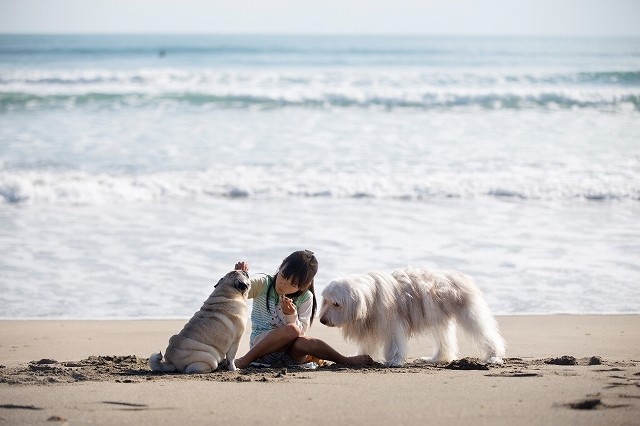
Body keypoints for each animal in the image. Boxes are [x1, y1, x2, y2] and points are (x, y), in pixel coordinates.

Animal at [320, 266, 504, 366]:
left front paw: (394, 361)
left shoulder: (393, 325)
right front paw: (359, 357)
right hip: (439, 319)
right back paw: (435, 358)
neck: (370, 298)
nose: (322, 320)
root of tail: (460, 276)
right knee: (445, 342)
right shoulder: (370, 325)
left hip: (470, 314)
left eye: (336, 303)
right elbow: (367, 344)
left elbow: (395, 344)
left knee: (485, 334)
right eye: (326, 301)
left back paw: (494, 356)